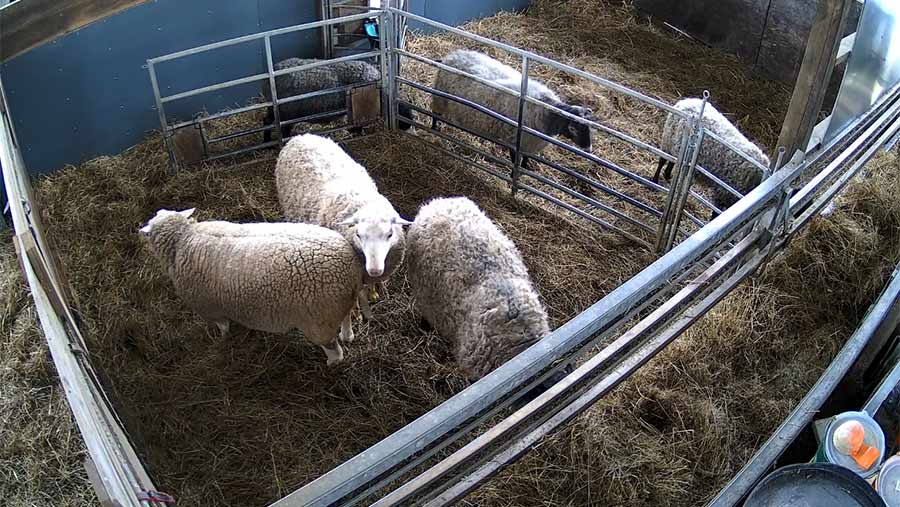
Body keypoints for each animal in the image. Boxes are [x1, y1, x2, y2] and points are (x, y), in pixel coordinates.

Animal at [138, 208, 362, 368]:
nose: (140, 228)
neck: (183, 238)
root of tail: (348, 267)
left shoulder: (209, 307)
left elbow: (223, 326)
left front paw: (224, 337)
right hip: (337, 306)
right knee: (346, 317)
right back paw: (347, 335)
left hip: (318, 320)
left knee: (334, 350)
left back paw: (331, 362)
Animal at [260, 56, 414, 142]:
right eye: (401, 109)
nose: (407, 126)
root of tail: (267, 81)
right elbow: (357, 126)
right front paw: (356, 134)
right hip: (285, 113)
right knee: (281, 129)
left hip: (276, 110)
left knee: (266, 121)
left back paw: (267, 142)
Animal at [274, 133, 412, 320]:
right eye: (359, 235)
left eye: (390, 234)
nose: (374, 270)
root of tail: (301, 136)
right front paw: (356, 314)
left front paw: (375, 293)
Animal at [428, 48, 592, 167]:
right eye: (573, 128)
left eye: (589, 128)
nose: (588, 149)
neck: (544, 111)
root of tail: (452, 56)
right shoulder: (515, 141)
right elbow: (515, 162)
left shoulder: (530, 146)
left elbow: (525, 160)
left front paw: (525, 168)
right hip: (439, 99)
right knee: (435, 115)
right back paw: (434, 129)